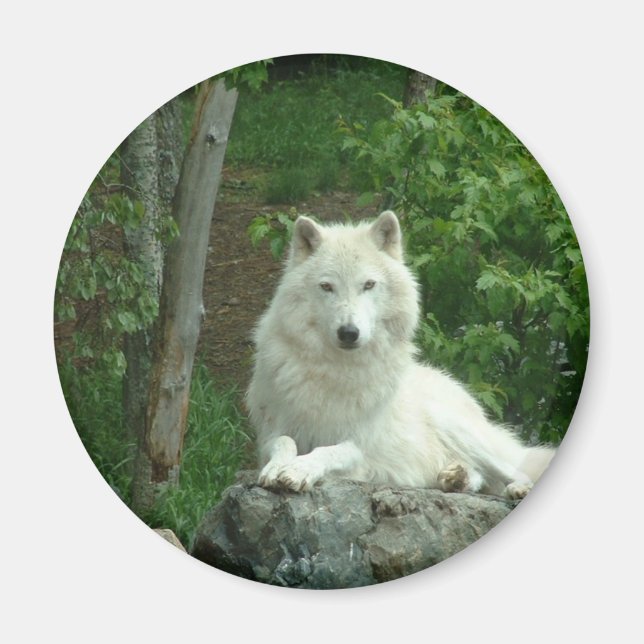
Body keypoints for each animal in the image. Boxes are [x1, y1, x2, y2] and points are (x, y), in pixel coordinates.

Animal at [247, 211, 554, 499]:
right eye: (327, 287)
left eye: (368, 284)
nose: (349, 333)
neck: (338, 371)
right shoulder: (270, 433)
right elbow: (284, 442)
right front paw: (277, 468)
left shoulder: (360, 446)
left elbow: (328, 450)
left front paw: (298, 470)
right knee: (480, 477)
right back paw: (455, 478)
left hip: (455, 427)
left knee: (513, 471)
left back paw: (514, 487)